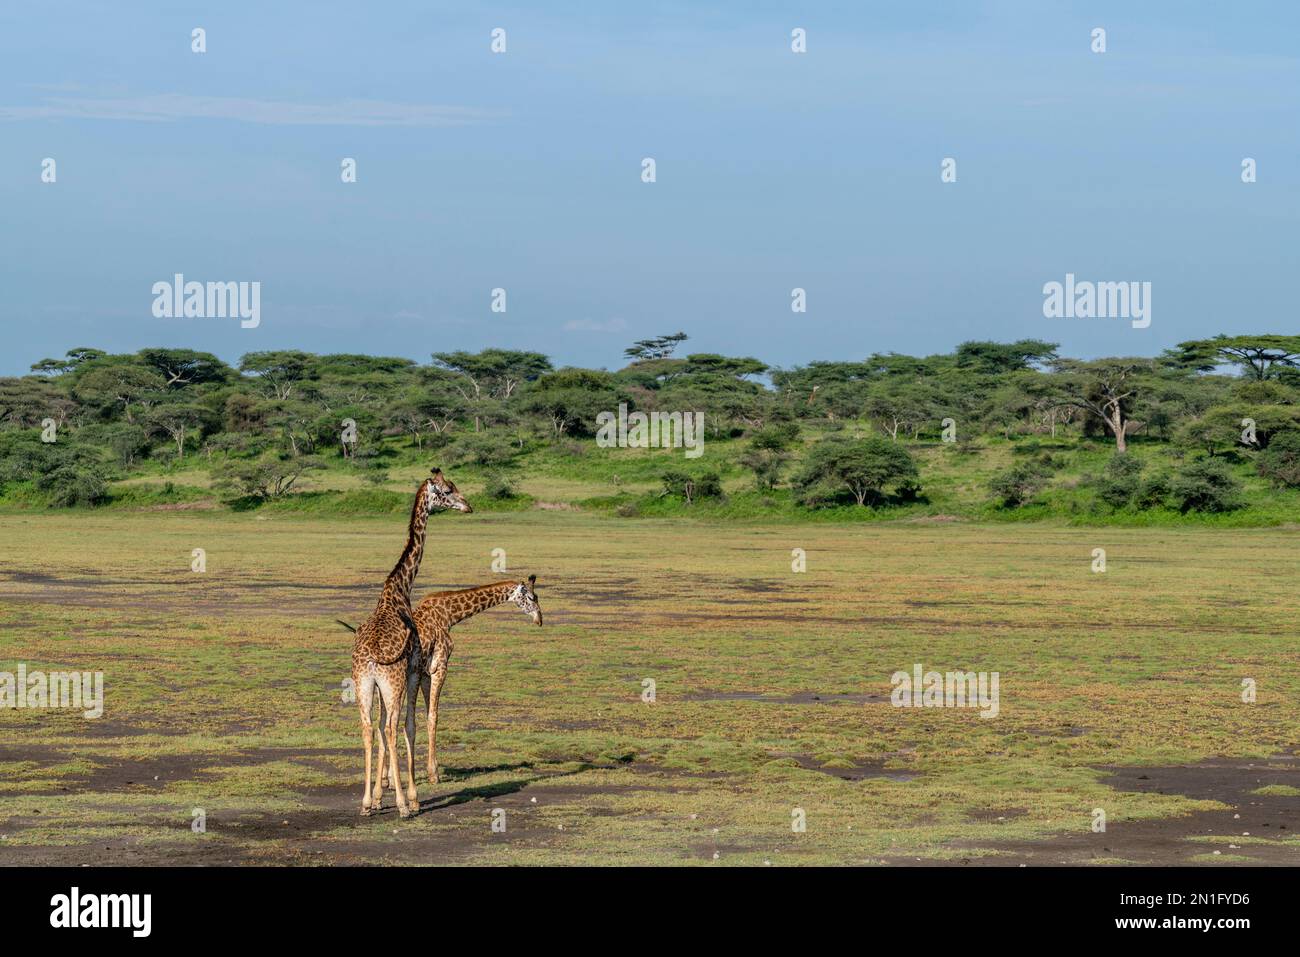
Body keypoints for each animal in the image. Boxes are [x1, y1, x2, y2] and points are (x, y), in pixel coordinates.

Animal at [345, 579, 543, 806]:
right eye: (532, 597)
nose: (539, 619)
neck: (448, 614)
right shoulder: (438, 667)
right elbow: (432, 716)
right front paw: (433, 773)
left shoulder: (423, 674)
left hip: (378, 686)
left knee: (379, 723)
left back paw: (385, 782)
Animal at [351, 468, 473, 816]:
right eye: (447, 489)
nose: (468, 505)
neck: (399, 589)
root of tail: (371, 661)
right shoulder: (414, 670)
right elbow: (409, 725)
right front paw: (412, 796)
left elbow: (381, 727)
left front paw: (378, 796)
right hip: (392, 682)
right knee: (391, 728)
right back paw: (405, 805)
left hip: (364, 684)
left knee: (368, 728)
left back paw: (365, 803)